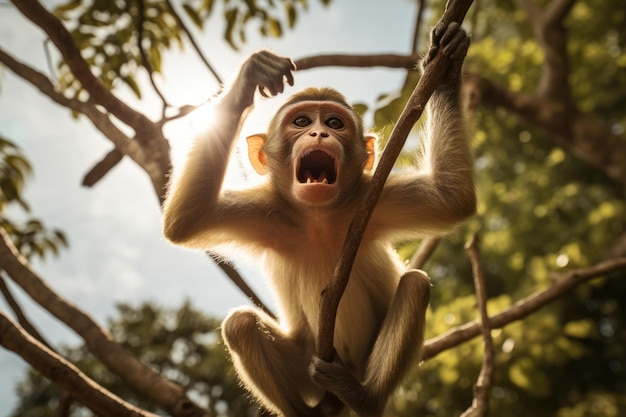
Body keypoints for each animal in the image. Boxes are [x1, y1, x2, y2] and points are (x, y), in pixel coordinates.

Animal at [161, 21, 472, 416]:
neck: (319, 218)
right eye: (302, 121)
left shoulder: (375, 198)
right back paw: (303, 410)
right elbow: (188, 219)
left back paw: (364, 397)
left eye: (335, 123)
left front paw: (448, 63)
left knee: (415, 284)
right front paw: (251, 75)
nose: (319, 132)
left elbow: (452, 197)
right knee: (240, 324)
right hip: (305, 365)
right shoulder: (267, 212)